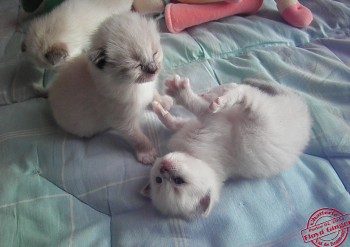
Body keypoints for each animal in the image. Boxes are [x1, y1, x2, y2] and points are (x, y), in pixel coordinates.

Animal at [48, 12, 172, 165]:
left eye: (154, 53)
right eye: (137, 65)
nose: (154, 69)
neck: (132, 85)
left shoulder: (148, 89)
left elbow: (154, 94)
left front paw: (164, 102)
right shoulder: (123, 121)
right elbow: (137, 137)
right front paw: (147, 153)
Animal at [142, 75, 312, 218]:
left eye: (178, 181)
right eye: (159, 180)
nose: (163, 167)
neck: (200, 159)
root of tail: (305, 115)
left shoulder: (210, 121)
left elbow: (187, 113)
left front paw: (163, 106)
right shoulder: (204, 123)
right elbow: (184, 116)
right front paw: (167, 103)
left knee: (244, 92)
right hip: (261, 111)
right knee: (248, 92)